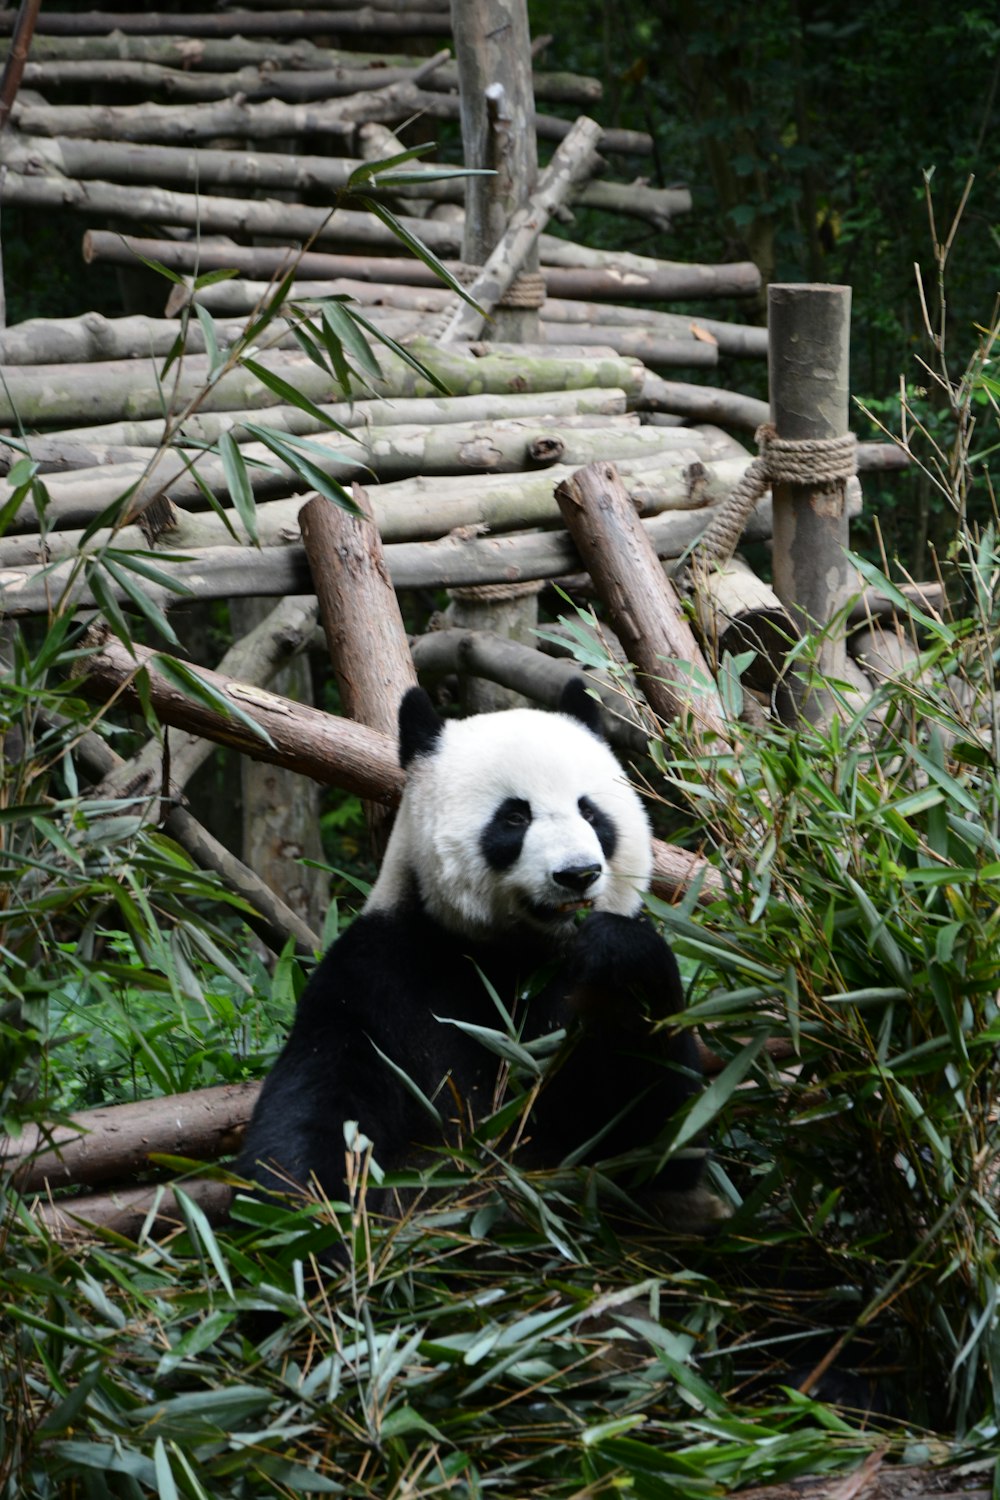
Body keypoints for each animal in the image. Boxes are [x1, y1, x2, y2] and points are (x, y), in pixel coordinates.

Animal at [236, 681, 704, 1218]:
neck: (518, 953)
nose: (577, 874)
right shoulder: (381, 972)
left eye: (590, 812)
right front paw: (307, 1214)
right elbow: (322, 1099)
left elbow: (659, 1144)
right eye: (515, 817)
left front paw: (617, 955)